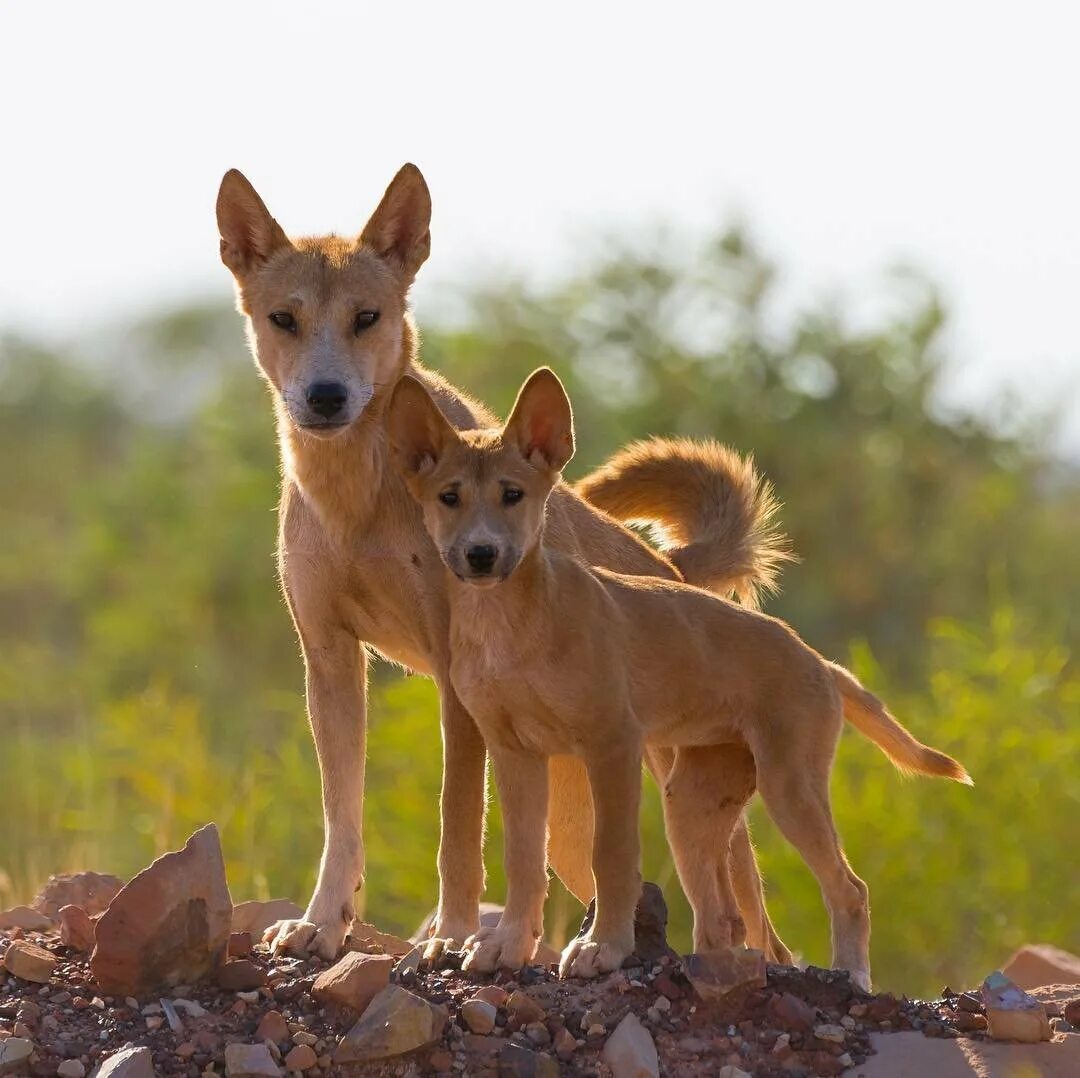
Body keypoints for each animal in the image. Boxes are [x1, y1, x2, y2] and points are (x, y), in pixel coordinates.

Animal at [219, 162, 794, 963]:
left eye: (366, 317)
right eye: (284, 319)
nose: (326, 396)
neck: (357, 500)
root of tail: (671, 569)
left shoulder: (450, 675)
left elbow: (456, 828)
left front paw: (453, 935)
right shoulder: (330, 658)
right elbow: (343, 820)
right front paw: (321, 922)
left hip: (680, 787)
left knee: (767, 930)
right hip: (577, 815)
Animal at [388, 367, 972, 989]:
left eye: (512, 494)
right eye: (450, 497)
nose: (481, 554)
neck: (510, 629)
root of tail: (816, 657)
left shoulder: (611, 743)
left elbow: (612, 859)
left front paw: (603, 948)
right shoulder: (514, 751)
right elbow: (523, 862)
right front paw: (509, 947)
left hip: (790, 787)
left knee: (850, 889)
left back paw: (852, 977)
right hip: (691, 804)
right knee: (723, 918)